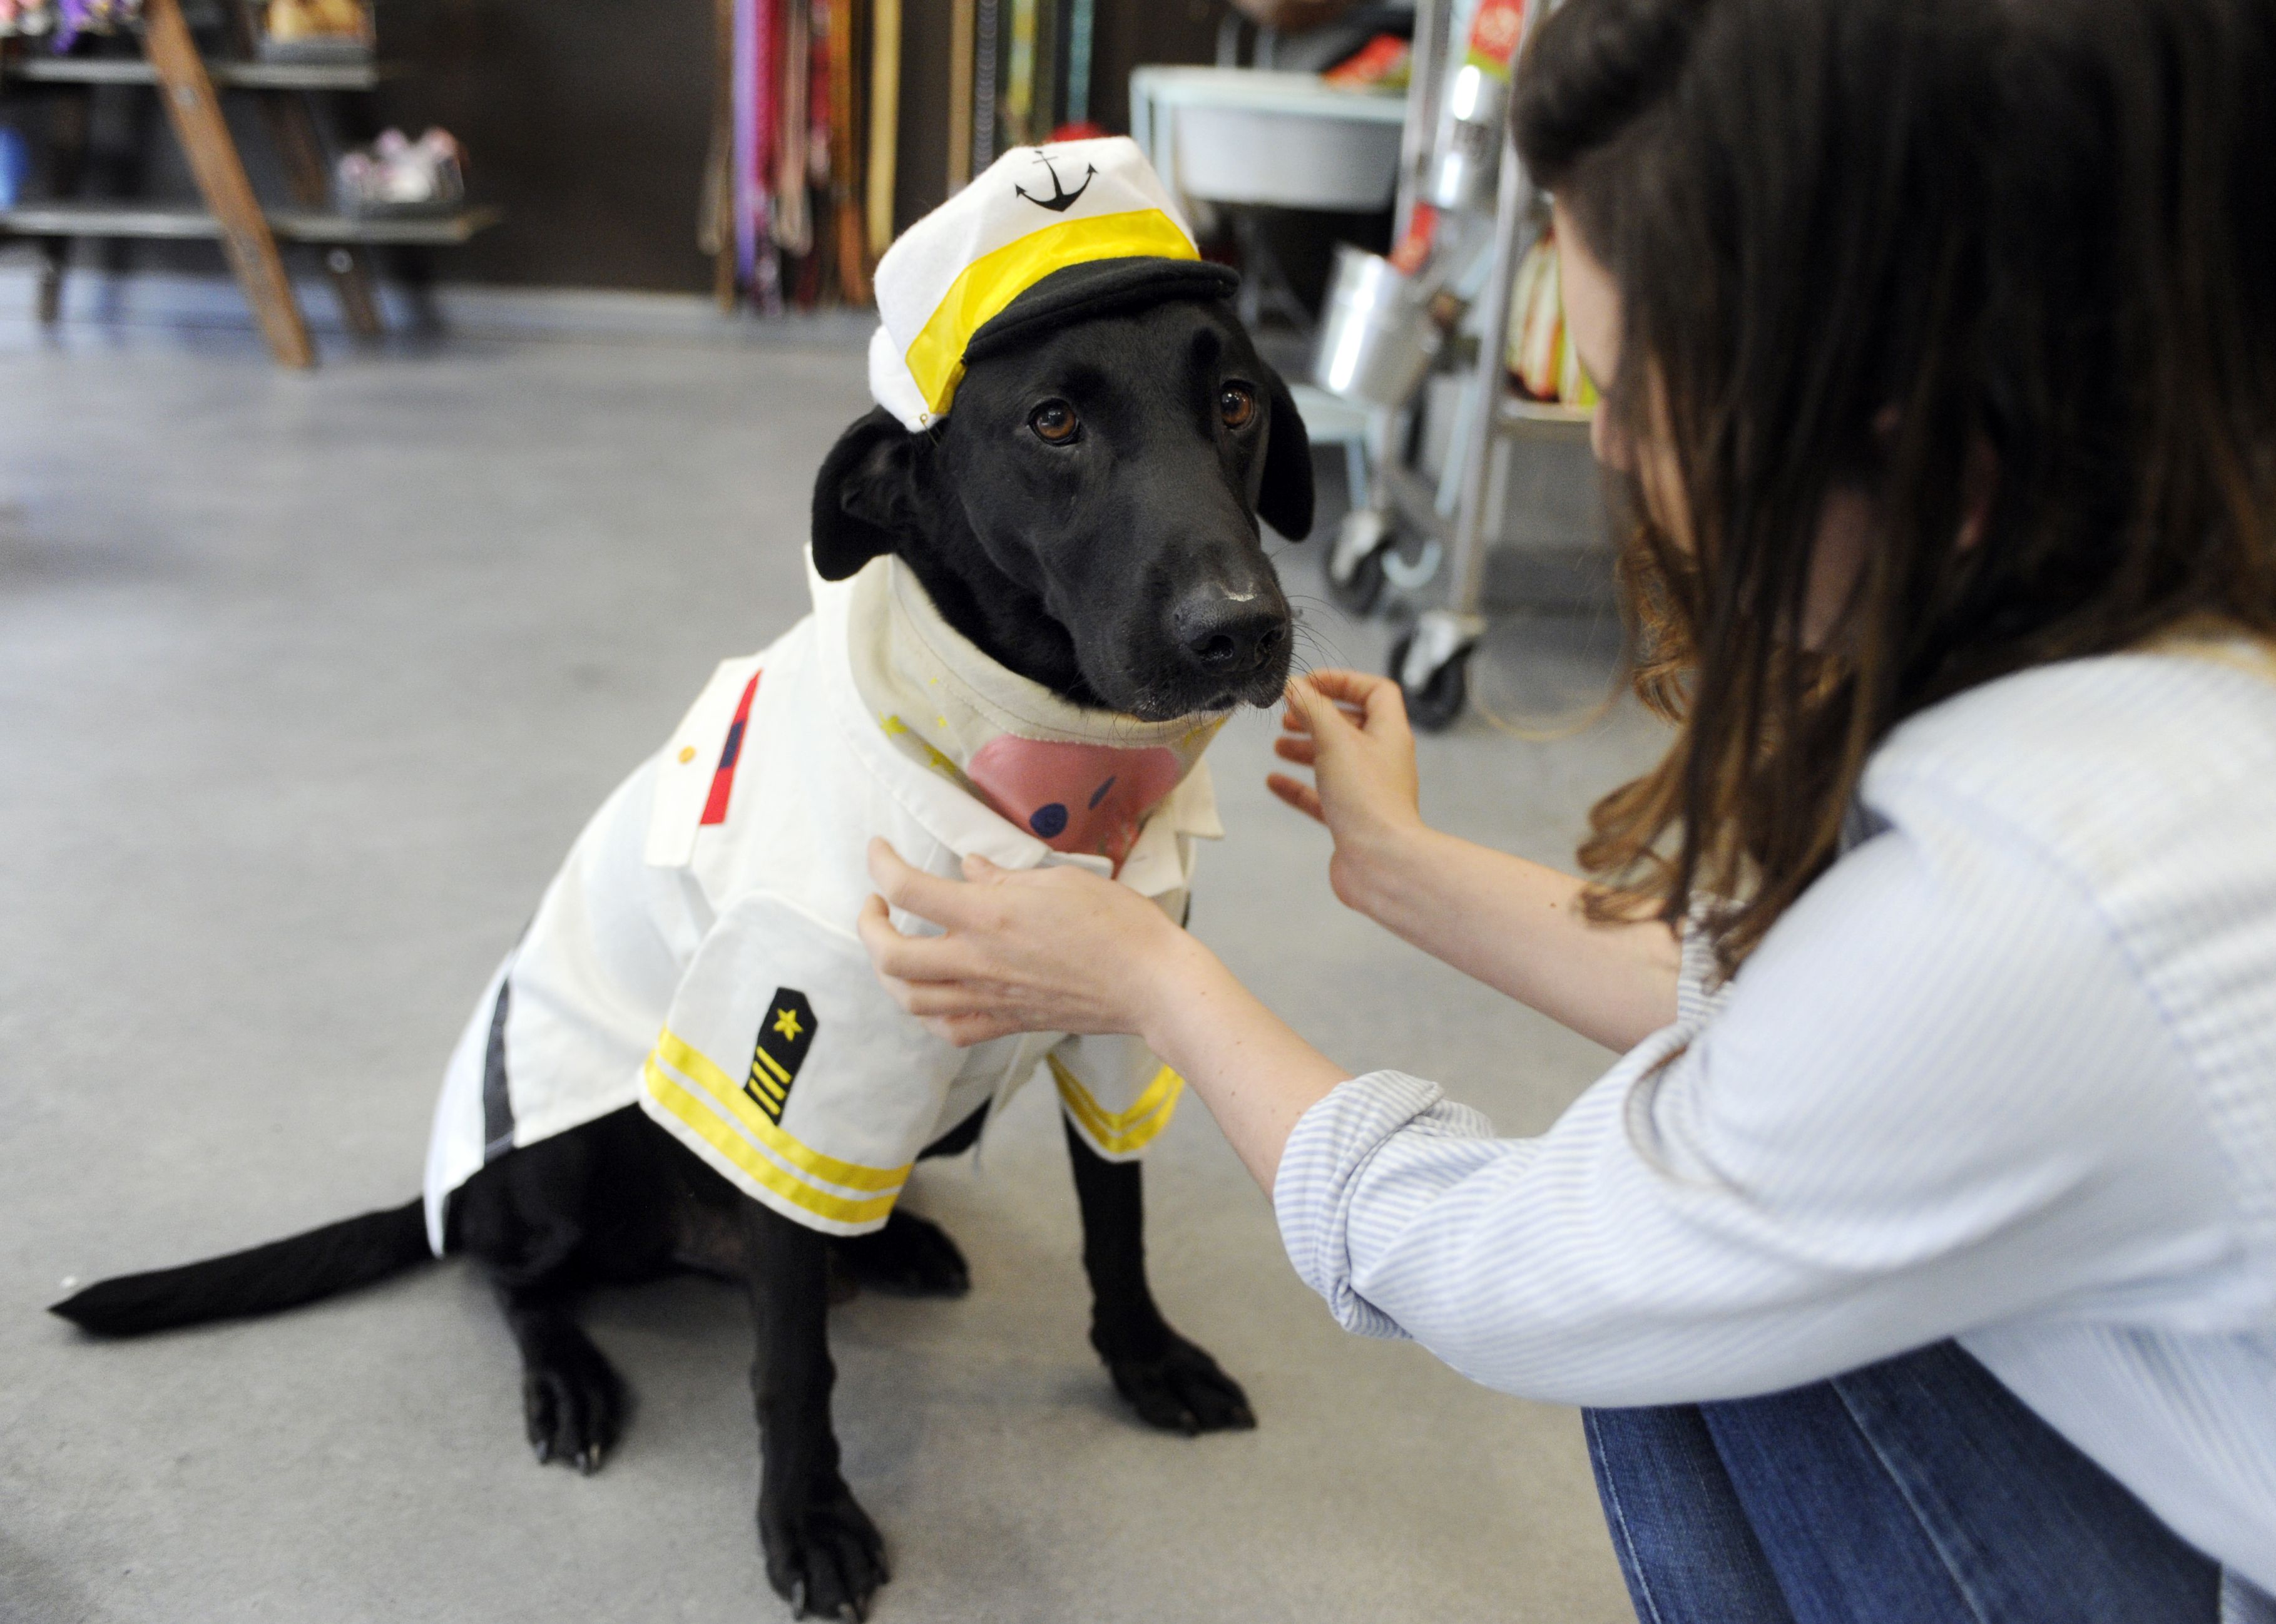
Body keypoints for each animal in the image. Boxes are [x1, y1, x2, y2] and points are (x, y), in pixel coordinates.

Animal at [53, 268, 1320, 1619]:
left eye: (1235, 401)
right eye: (1052, 422)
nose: (1239, 631)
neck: (1042, 780)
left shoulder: (1117, 1023)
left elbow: (1116, 1226)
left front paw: (1147, 1362)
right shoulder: (788, 1055)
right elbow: (792, 1363)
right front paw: (806, 1518)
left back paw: (901, 1242)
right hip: (570, 1163)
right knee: (512, 1276)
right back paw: (566, 1375)